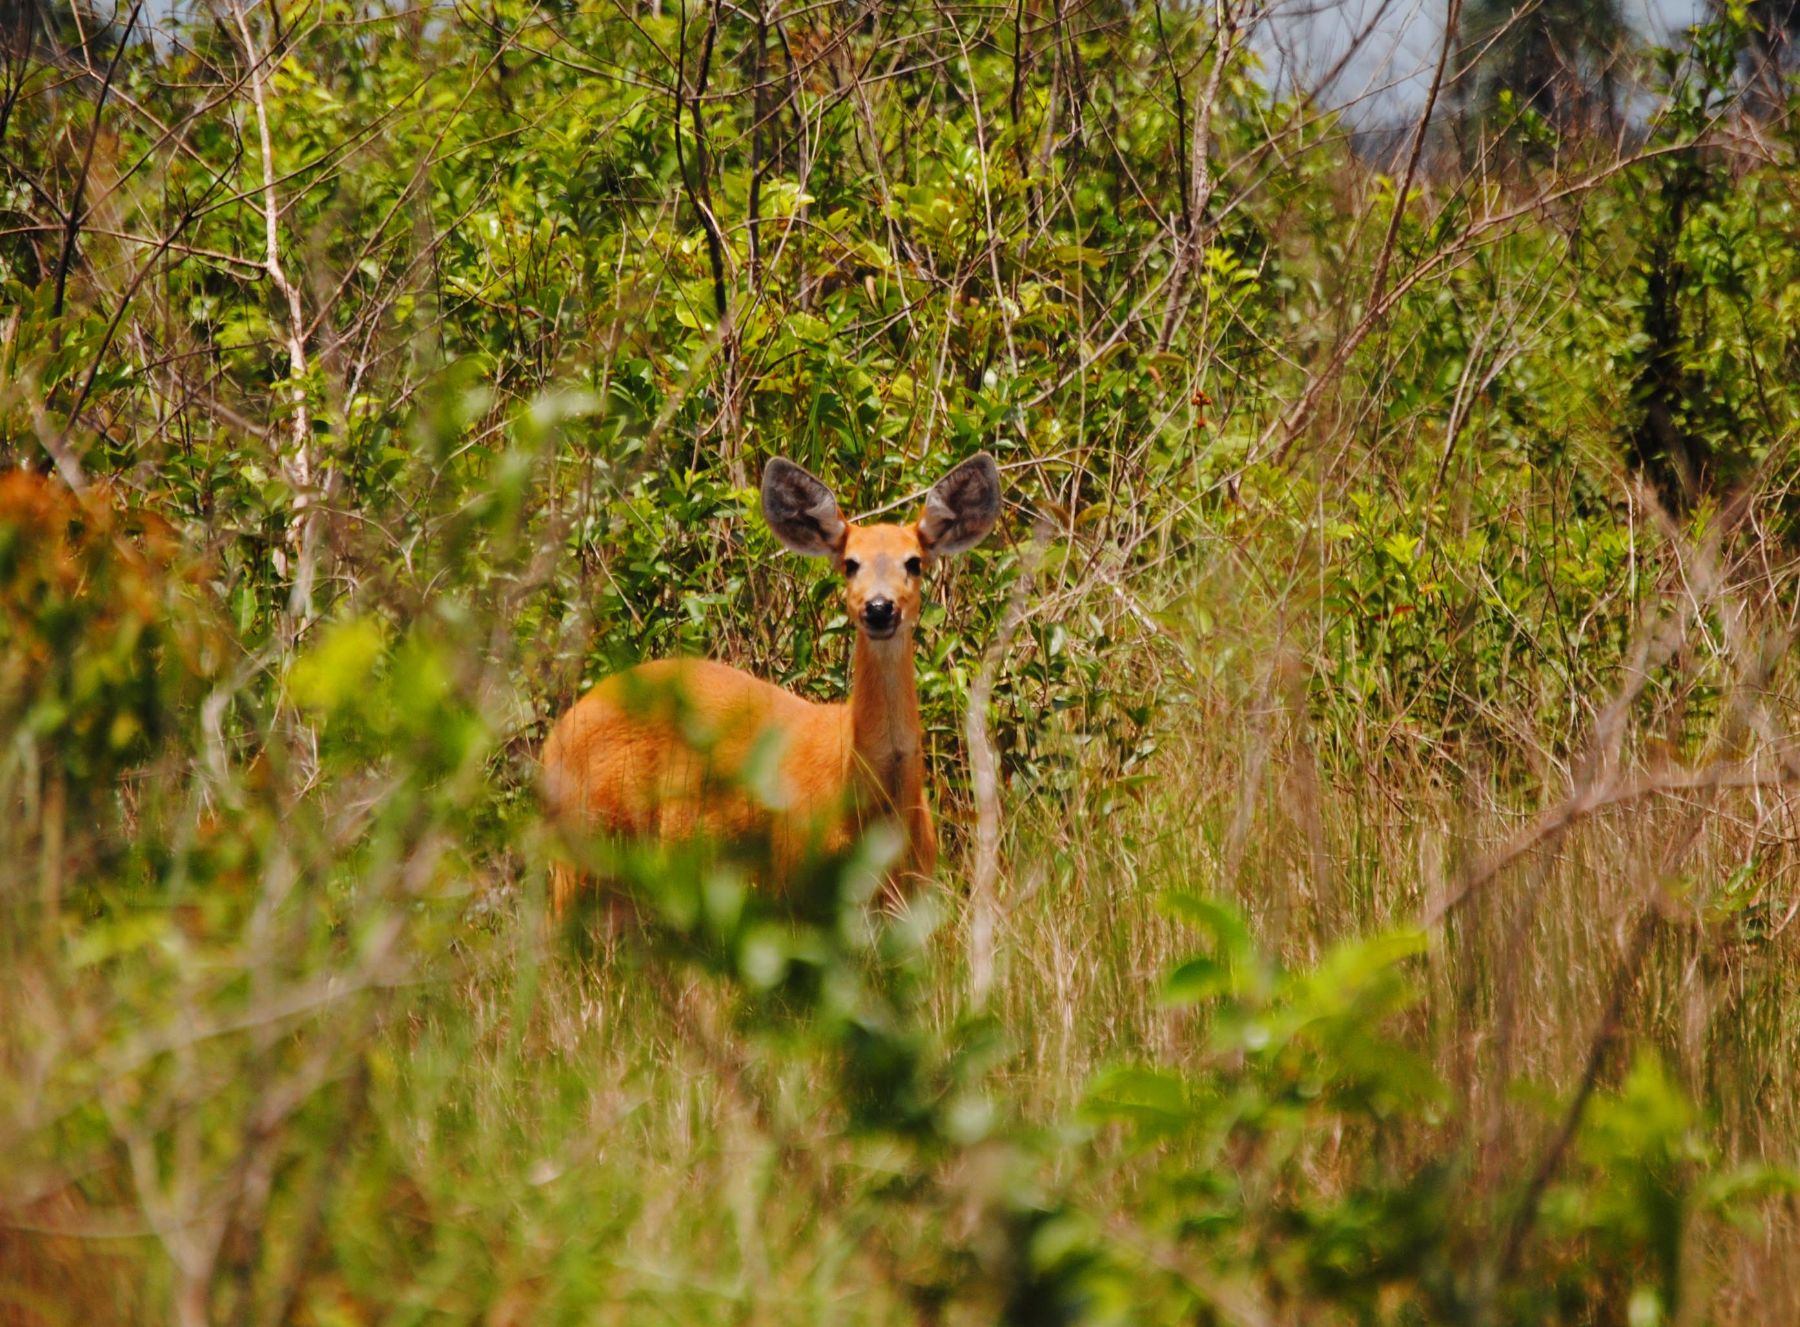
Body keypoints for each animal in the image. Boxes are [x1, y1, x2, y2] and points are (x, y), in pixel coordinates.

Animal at [540, 450, 1008, 914]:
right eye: (849, 564)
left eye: (914, 562)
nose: (879, 608)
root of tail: (556, 736)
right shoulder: (796, 880)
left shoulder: (914, 890)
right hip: (583, 838)